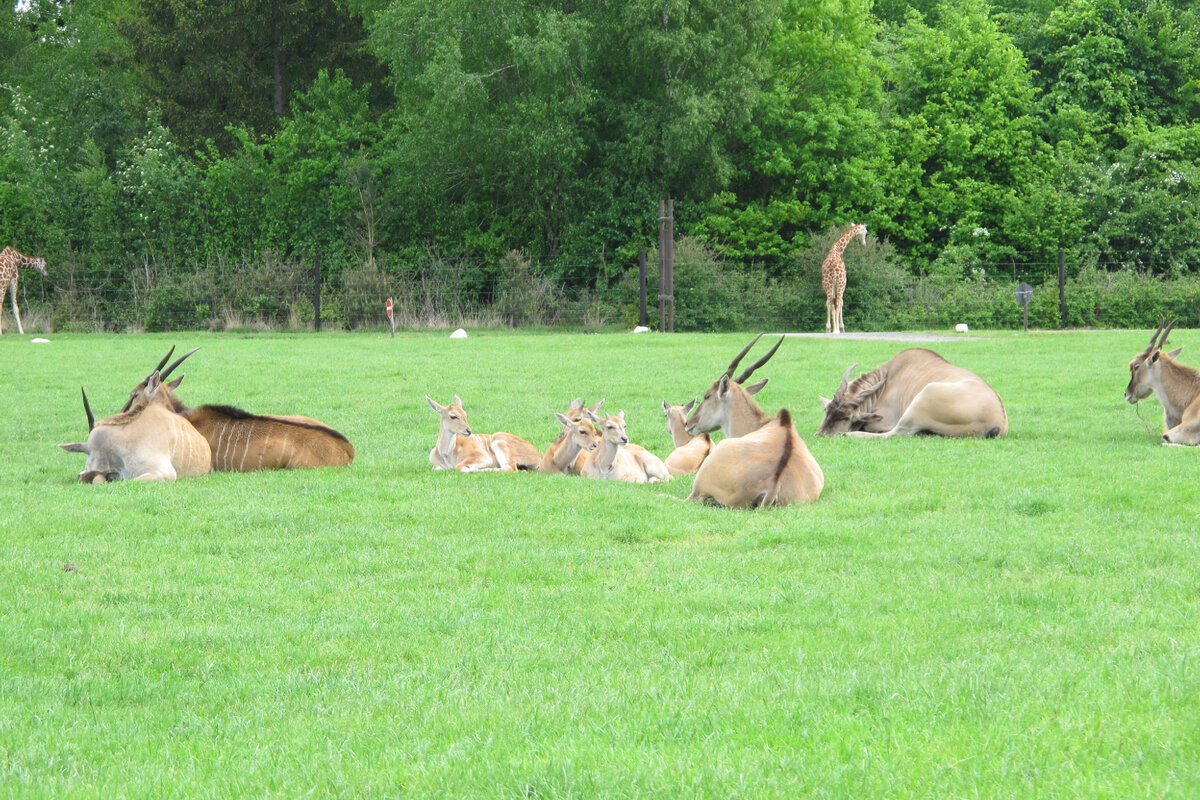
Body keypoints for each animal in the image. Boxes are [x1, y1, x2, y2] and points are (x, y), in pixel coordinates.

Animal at [811, 347, 1008, 438]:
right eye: (826, 411)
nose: (821, 435)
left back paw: (849, 435)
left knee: (896, 433)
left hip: (925, 395)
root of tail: (999, 422)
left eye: (845, 418)